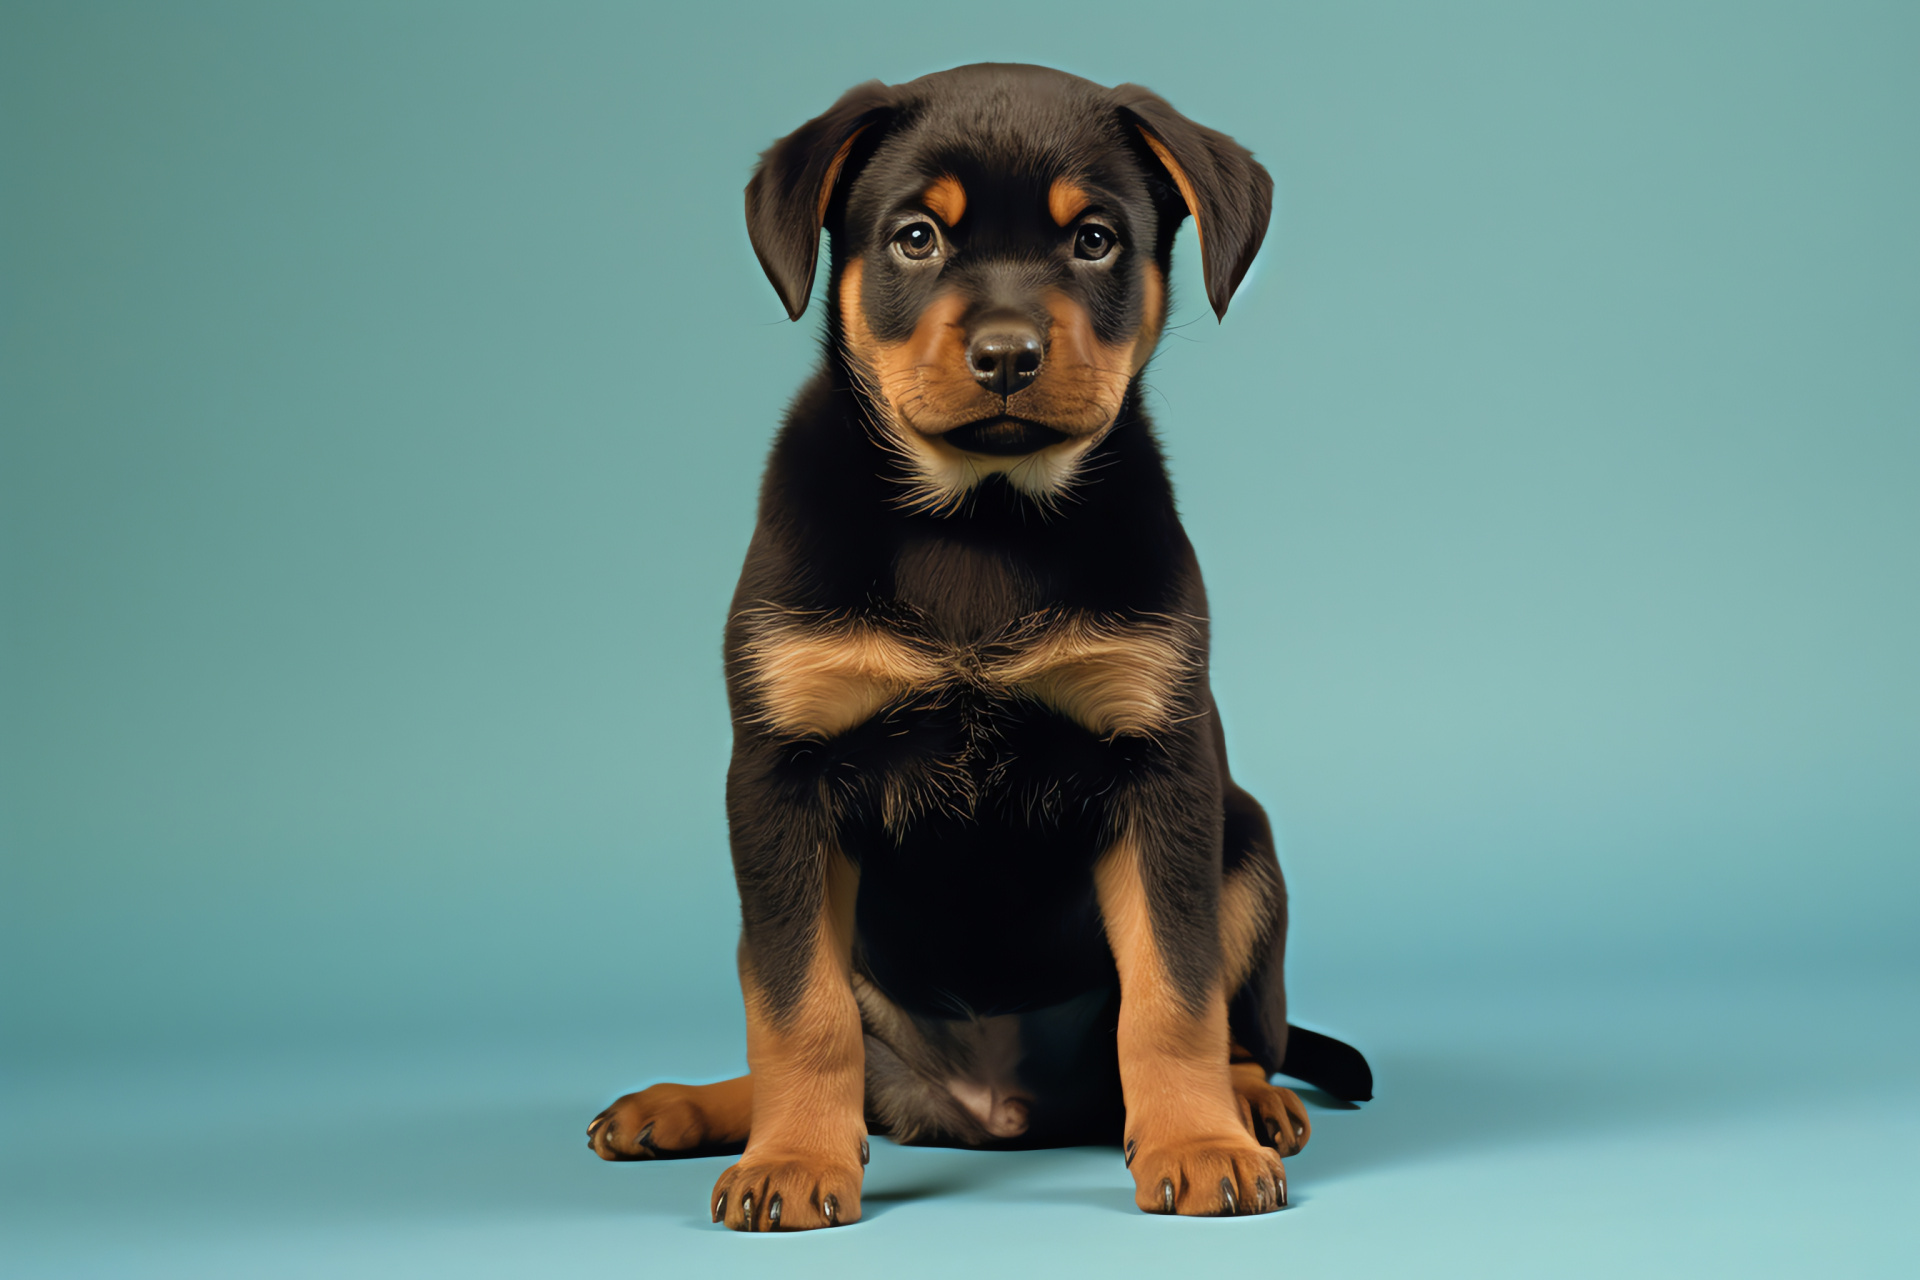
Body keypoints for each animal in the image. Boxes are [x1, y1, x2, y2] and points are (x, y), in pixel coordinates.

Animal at [583, 65, 1367, 1235]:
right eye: (916, 238)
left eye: (1094, 240)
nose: (1006, 355)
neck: (983, 520)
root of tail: (990, 1108)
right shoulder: (780, 779)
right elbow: (798, 1007)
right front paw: (793, 1160)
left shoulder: (1163, 774)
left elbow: (1172, 992)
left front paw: (1198, 1142)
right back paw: (685, 1107)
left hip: (1248, 845)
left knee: (1240, 1031)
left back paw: (1251, 1103)